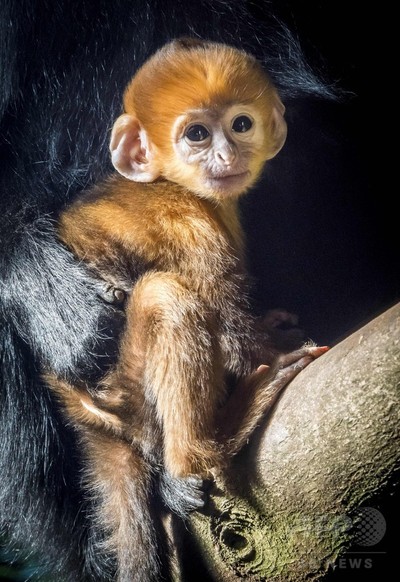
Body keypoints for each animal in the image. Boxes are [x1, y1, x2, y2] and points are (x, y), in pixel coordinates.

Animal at [0, 2, 332, 580]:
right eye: (195, 134)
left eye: (240, 124)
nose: (224, 156)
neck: (171, 183)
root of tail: (84, 414)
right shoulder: (190, 226)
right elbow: (232, 334)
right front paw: (277, 348)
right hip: (121, 385)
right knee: (167, 298)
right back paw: (199, 453)